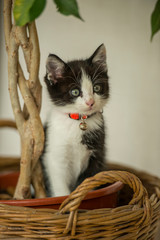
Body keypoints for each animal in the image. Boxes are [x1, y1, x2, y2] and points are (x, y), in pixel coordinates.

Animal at [40, 43, 109, 197]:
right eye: (75, 92)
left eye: (96, 88)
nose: (90, 102)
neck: (78, 121)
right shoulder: (55, 157)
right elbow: (61, 188)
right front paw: (64, 199)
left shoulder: (97, 155)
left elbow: (87, 182)